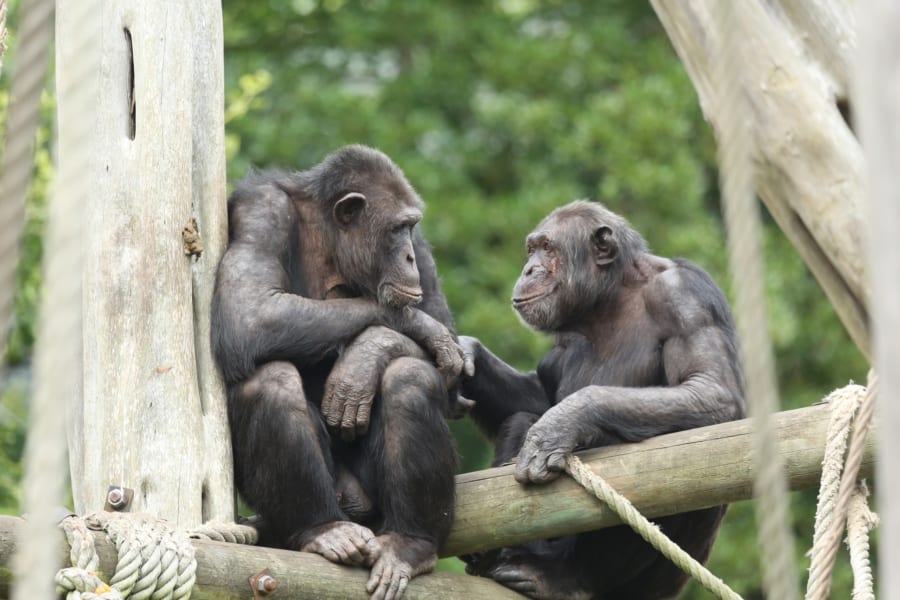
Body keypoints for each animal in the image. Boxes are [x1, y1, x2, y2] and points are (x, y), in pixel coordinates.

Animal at [211, 145, 464, 600]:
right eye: (396, 229)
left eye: (410, 227)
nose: (407, 256)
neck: (331, 239)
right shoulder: (261, 212)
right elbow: (250, 312)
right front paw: (414, 326)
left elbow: (453, 361)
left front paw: (368, 354)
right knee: (270, 381)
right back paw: (323, 529)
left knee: (410, 379)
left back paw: (410, 543)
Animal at [458, 199, 744, 596]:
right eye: (531, 249)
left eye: (548, 249)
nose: (529, 268)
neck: (609, 301)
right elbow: (537, 397)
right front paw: (466, 354)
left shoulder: (685, 297)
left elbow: (711, 388)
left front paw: (562, 423)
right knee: (519, 419)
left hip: (655, 584)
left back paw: (562, 579)